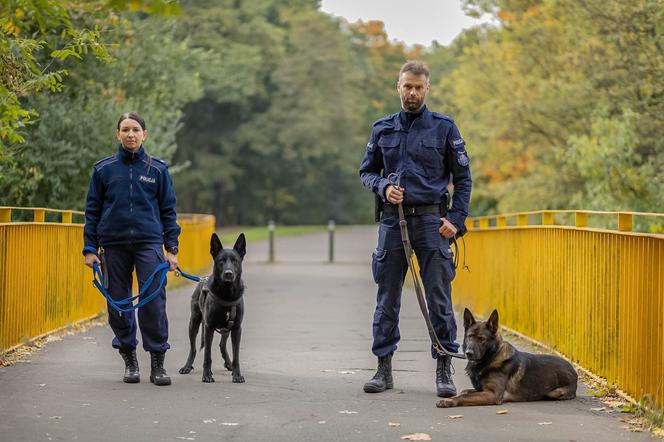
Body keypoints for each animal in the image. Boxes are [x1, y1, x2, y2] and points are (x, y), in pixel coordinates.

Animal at [179, 233, 246, 382]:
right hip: (194, 323)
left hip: (226, 328)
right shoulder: (209, 327)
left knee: (222, 345)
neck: (227, 294)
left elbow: (237, 356)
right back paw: (187, 366)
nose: (228, 273)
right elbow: (207, 355)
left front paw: (237, 374)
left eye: (235, 261)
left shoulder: (237, 329)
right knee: (193, 348)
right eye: (221, 261)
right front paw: (207, 375)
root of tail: (202, 279)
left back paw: (229, 364)